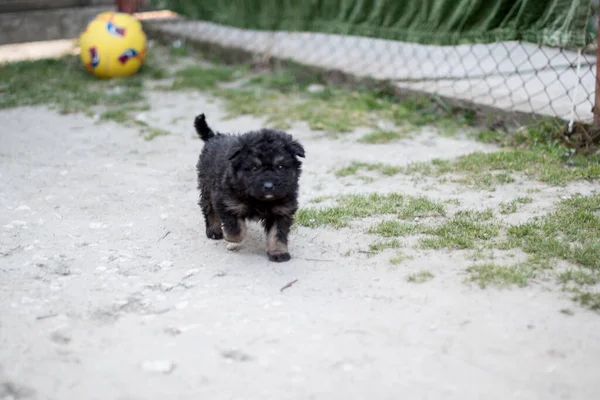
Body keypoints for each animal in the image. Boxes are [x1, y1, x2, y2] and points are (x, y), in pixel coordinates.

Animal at [195, 113, 304, 262]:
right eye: (254, 168)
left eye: (280, 166)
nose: (269, 186)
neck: (259, 200)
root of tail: (214, 137)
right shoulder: (226, 202)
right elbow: (236, 227)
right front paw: (231, 238)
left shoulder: (282, 211)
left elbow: (277, 234)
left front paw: (278, 252)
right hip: (206, 186)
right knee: (209, 209)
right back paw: (214, 230)